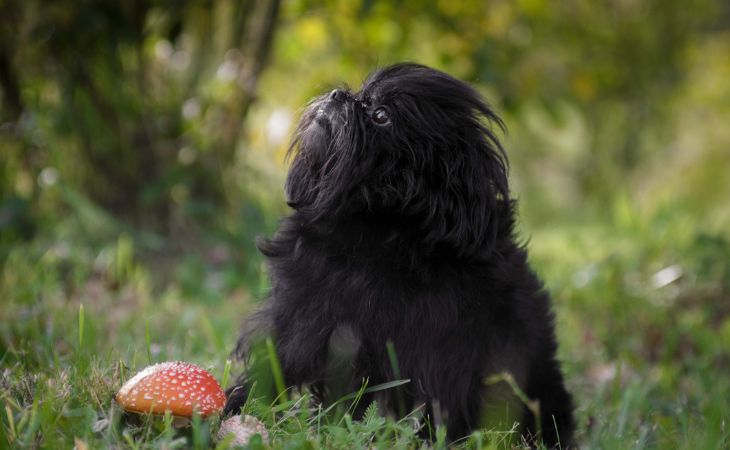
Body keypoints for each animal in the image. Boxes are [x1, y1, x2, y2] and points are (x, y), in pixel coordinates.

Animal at [228, 62, 576, 446]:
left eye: (381, 115)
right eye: (360, 95)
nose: (338, 95)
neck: (371, 228)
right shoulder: (300, 319)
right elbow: (274, 368)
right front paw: (235, 406)